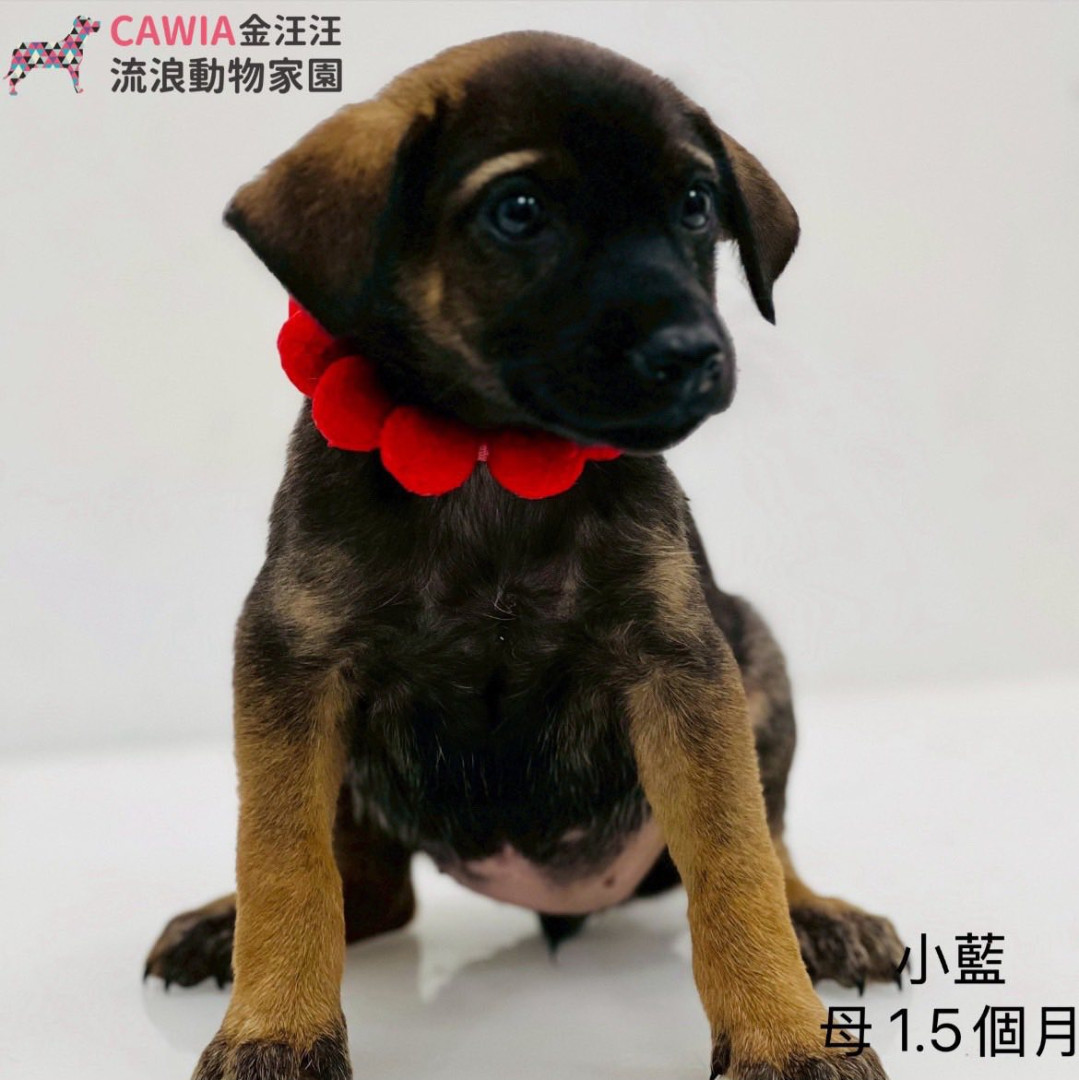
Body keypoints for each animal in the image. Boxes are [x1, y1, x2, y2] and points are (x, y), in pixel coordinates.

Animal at [145, 32, 902, 1080]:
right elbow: (285, 864)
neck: (490, 459)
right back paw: (223, 928)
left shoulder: (679, 666)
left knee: (774, 839)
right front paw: (276, 1027)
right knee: (367, 887)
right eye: (519, 212)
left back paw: (821, 917)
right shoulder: (291, 663)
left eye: (695, 205)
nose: (692, 354)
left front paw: (784, 1035)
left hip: (753, 647)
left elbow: (734, 862)